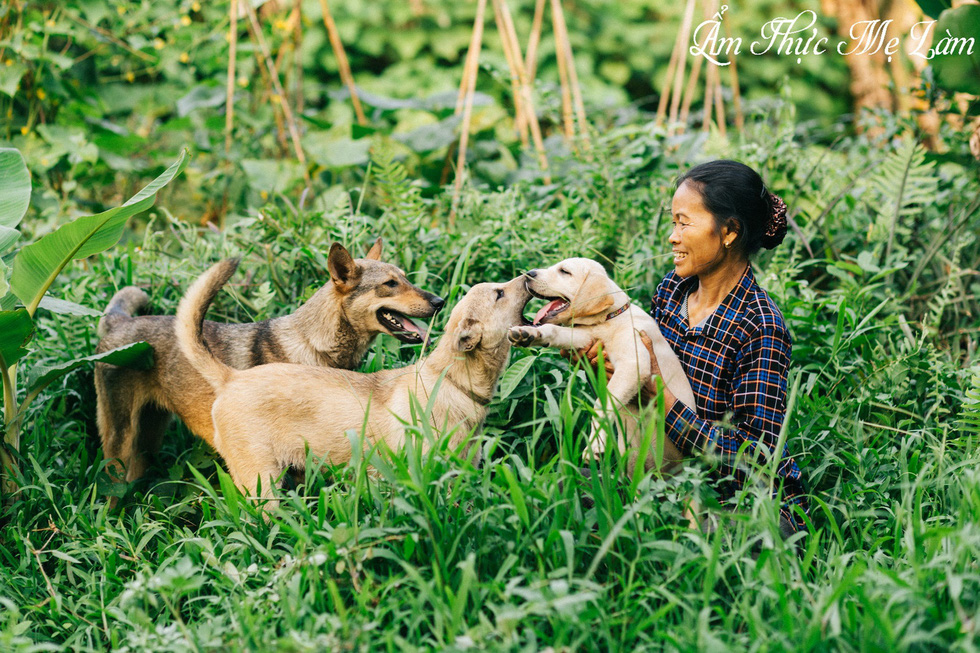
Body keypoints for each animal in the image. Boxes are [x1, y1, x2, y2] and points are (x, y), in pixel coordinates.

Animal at [92, 237, 444, 482]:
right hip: (120, 445)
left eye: (405, 278)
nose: (440, 301)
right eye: (390, 284)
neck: (314, 346)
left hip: (147, 444)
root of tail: (118, 322)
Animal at [506, 258, 696, 474]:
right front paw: (528, 333)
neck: (609, 319)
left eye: (564, 271)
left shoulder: (634, 364)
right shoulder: (586, 336)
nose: (528, 274)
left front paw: (595, 444)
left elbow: (601, 404)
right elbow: (554, 330)